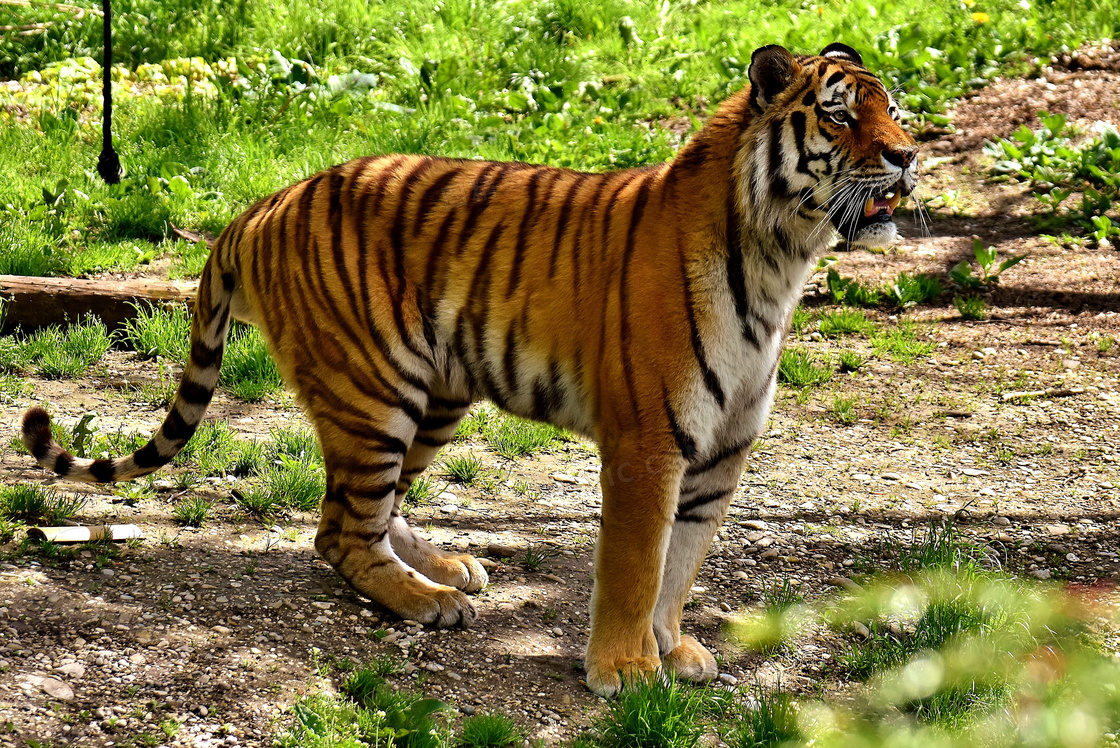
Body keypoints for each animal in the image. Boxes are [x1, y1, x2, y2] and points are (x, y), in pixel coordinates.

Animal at [21, 40, 918, 694]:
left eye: (897, 112)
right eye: (840, 117)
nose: (909, 157)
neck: (781, 261)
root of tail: (261, 204)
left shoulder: (722, 453)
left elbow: (681, 563)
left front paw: (672, 646)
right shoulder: (647, 445)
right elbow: (638, 566)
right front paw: (624, 670)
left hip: (434, 396)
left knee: (367, 511)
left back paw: (447, 568)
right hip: (375, 392)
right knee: (338, 528)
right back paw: (429, 602)